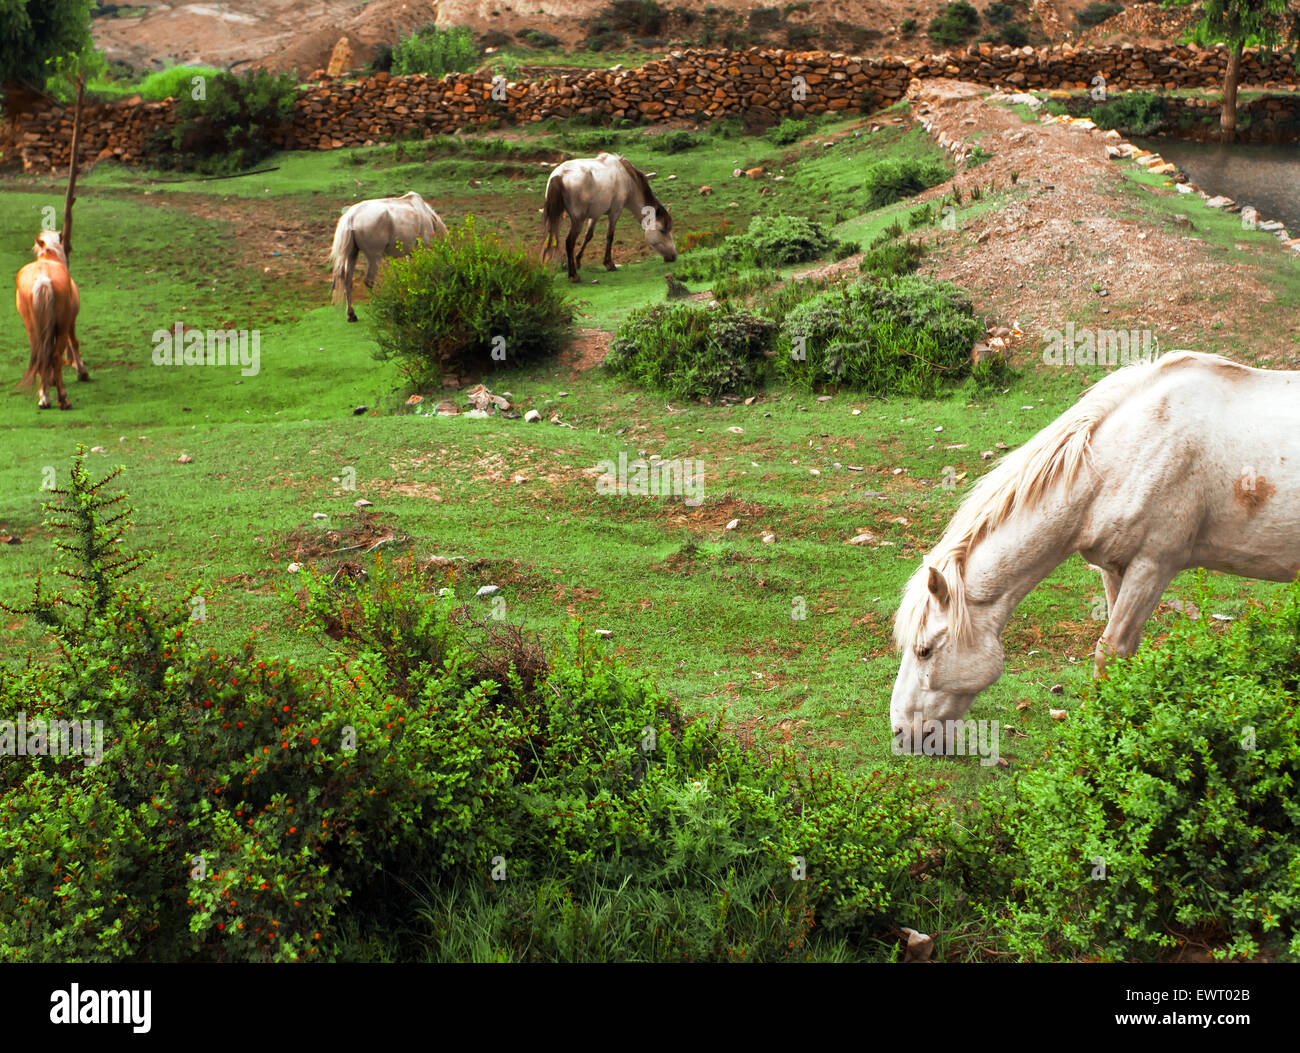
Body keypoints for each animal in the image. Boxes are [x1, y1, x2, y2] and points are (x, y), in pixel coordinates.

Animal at [14, 228, 87, 405]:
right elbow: (73, 343)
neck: (49, 258)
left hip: (32, 326)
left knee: (40, 354)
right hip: (62, 325)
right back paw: (63, 399)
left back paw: (44, 397)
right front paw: (82, 372)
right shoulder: (70, 322)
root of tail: (43, 280)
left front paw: (49, 380)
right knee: (55, 355)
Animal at [327, 188, 449, 319]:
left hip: (352, 254)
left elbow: (412, 272)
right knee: (369, 281)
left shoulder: (411, 253)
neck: (426, 213)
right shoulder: (422, 249)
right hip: (375, 257)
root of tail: (351, 216)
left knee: (348, 281)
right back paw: (376, 306)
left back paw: (351, 314)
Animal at [540, 152, 681, 283]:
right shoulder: (615, 213)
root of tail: (559, 175)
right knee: (569, 242)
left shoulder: (595, 215)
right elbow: (610, 236)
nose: (673, 256)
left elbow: (588, 236)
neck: (627, 179)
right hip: (577, 220)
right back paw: (573, 275)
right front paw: (609, 264)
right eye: (662, 230)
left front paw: (578, 260)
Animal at [889, 348, 1300, 748]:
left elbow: (1111, 650)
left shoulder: (1153, 566)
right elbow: (1123, 652)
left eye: (924, 650)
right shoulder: (1115, 567)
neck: (1128, 454)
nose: (900, 733)